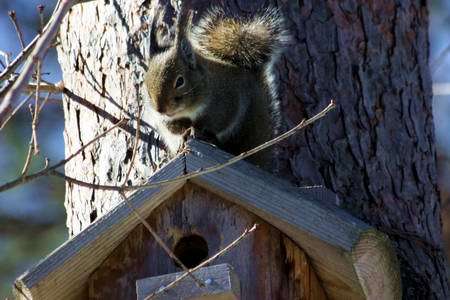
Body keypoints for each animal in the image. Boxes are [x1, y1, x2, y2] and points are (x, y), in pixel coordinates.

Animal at [144, 5, 288, 169]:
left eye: (180, 81)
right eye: (146, 87)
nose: (161, 109)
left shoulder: (225, 101)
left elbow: (217, 122)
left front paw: (195, 130)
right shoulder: (165, 119)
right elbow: (173, 127)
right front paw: (184, 132)